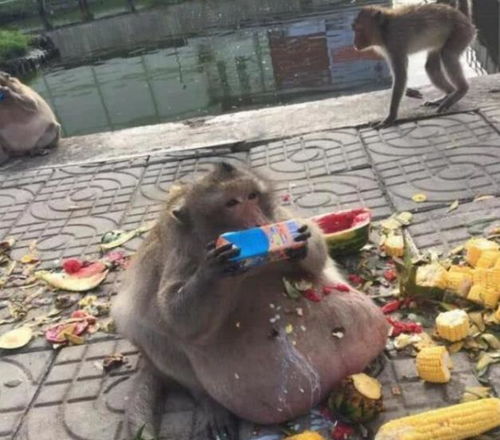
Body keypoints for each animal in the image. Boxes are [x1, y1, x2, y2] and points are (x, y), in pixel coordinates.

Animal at [111, 163, 388, 438]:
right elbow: (175, 317)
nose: (258, 221)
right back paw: (210, 404)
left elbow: (318, 255)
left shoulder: (277, 215)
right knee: (147, 331)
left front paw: (301, 242)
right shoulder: (179, 251)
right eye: (232, 202)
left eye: (252, 196)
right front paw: (212, 270)